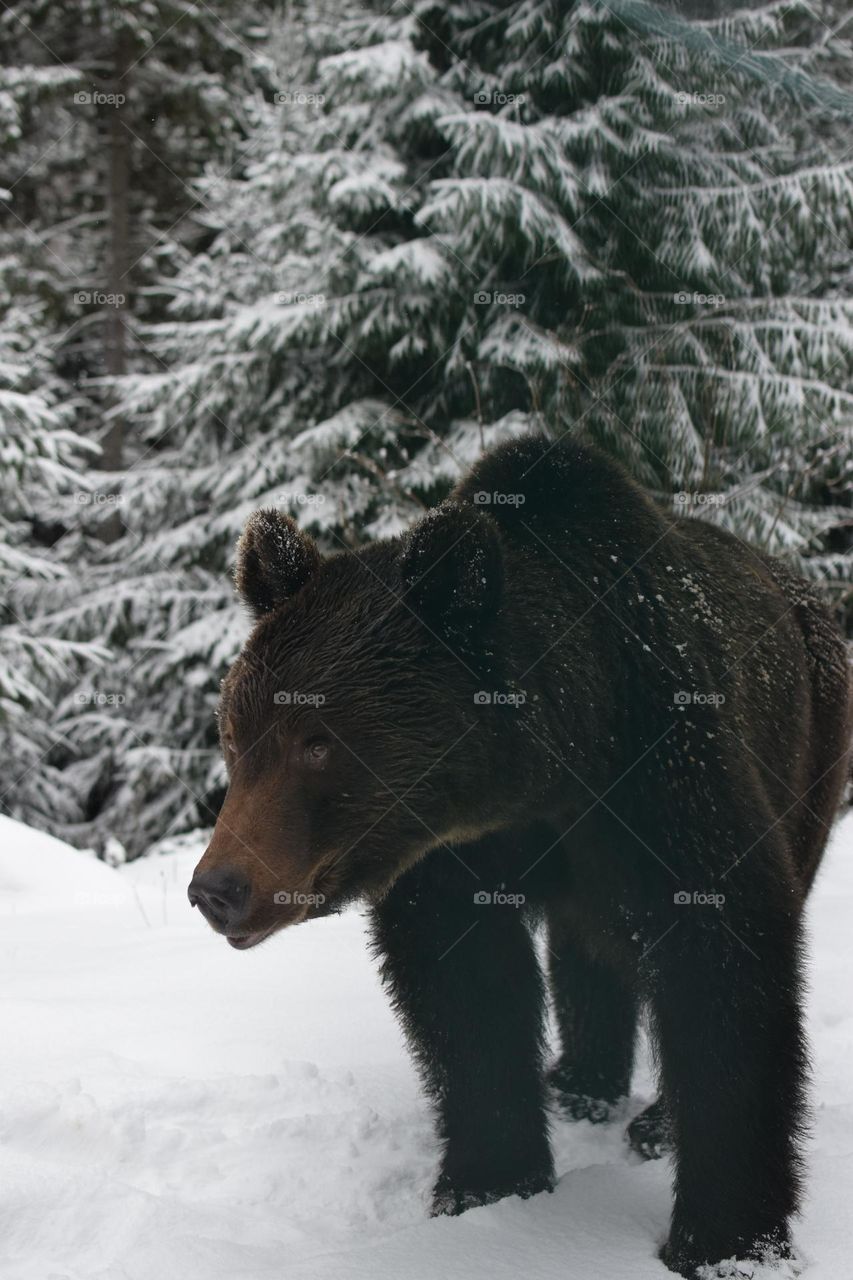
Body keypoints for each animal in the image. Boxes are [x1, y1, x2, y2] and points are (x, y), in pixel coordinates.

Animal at [188, 433, 852, 1277]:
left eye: (317, 742)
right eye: (236, 734)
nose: (218, 887)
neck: (551, 766)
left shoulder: (663, 774)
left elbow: (721, 971)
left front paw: (726, 1239)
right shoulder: (452, 853)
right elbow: (468, 992)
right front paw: (489, 1186)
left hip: (812, 753)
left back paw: (643, 1119)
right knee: (587, 947)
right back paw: (580, 1082)